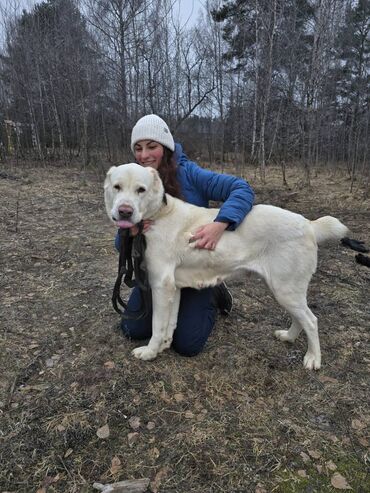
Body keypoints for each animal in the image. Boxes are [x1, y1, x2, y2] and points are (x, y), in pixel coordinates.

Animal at [105, 163, 350, 368]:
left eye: (141, 190)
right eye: (117, 187)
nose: (124, 211)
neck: (158, 214)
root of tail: (308, 224)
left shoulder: (160, 286)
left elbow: (157, 325)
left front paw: (150, 352)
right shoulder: (173, 288)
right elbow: (170, 323)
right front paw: (165, 345)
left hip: (285, 289)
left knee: (311, 320)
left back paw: (313, 359)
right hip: (285, 290)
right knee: (301, 318)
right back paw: (289, 337)